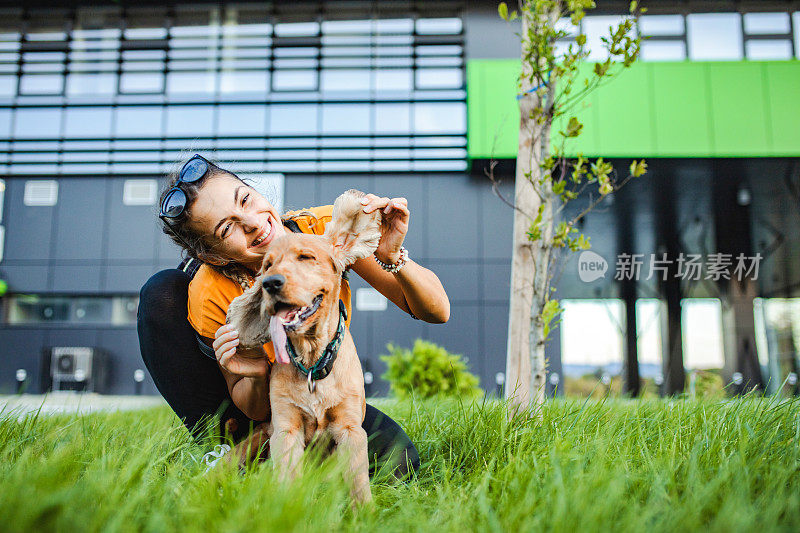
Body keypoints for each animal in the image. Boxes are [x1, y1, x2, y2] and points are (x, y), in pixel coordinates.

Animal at [225, 190, 382, 502]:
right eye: (267, 266)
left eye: (306, 257)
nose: (271, 283)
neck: (312, 362)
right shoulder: (285, 428)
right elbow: (287, 480)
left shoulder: (351, 429)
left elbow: (358, 484)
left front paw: (365, 510)